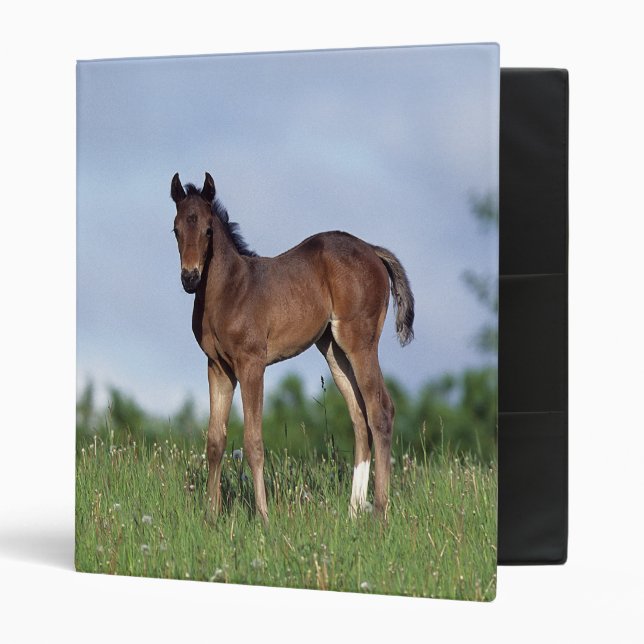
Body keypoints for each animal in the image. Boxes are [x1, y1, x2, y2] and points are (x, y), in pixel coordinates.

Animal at [170, 172, 414, 522]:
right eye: (175, 229)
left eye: (208, 230)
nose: (190, 277)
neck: (230, 290)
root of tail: (372, 250)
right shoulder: (217, 367)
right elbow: (215, 441)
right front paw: (210, 517)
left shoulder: (251, 364)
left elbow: (253, 441)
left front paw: (263, 516)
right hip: (334, 350)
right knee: (359, 417)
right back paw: (353, 512)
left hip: (360, 341)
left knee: (380, 410)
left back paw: (379, 513)